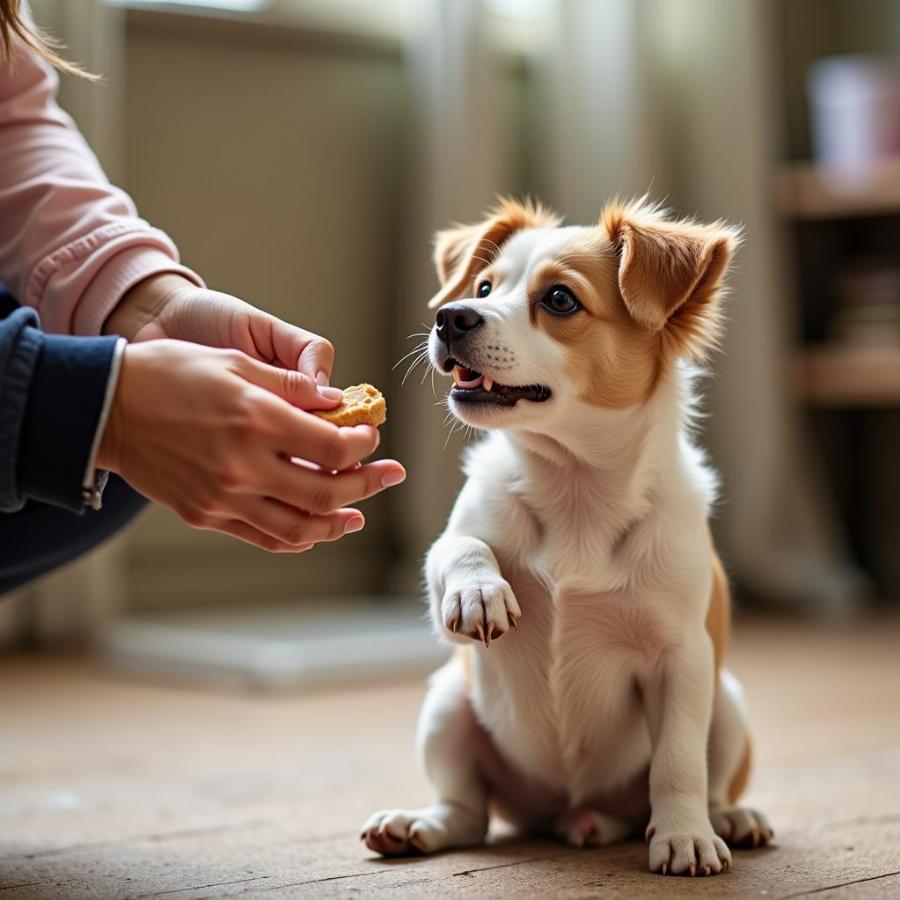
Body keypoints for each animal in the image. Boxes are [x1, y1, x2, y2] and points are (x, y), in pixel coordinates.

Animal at [362, 199, 768, 880]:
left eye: (558, 300)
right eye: (483, 287)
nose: (449, 317)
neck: (575, 487)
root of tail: (570, 809)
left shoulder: (681, 659)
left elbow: (678, 763)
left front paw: (685, 836)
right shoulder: (451, 551)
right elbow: (460, 549)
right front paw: (480, 593)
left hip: (728, 703)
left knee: (705, 783)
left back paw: (728, 820)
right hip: (449, 703)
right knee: (467, 813)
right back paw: (420, 824)